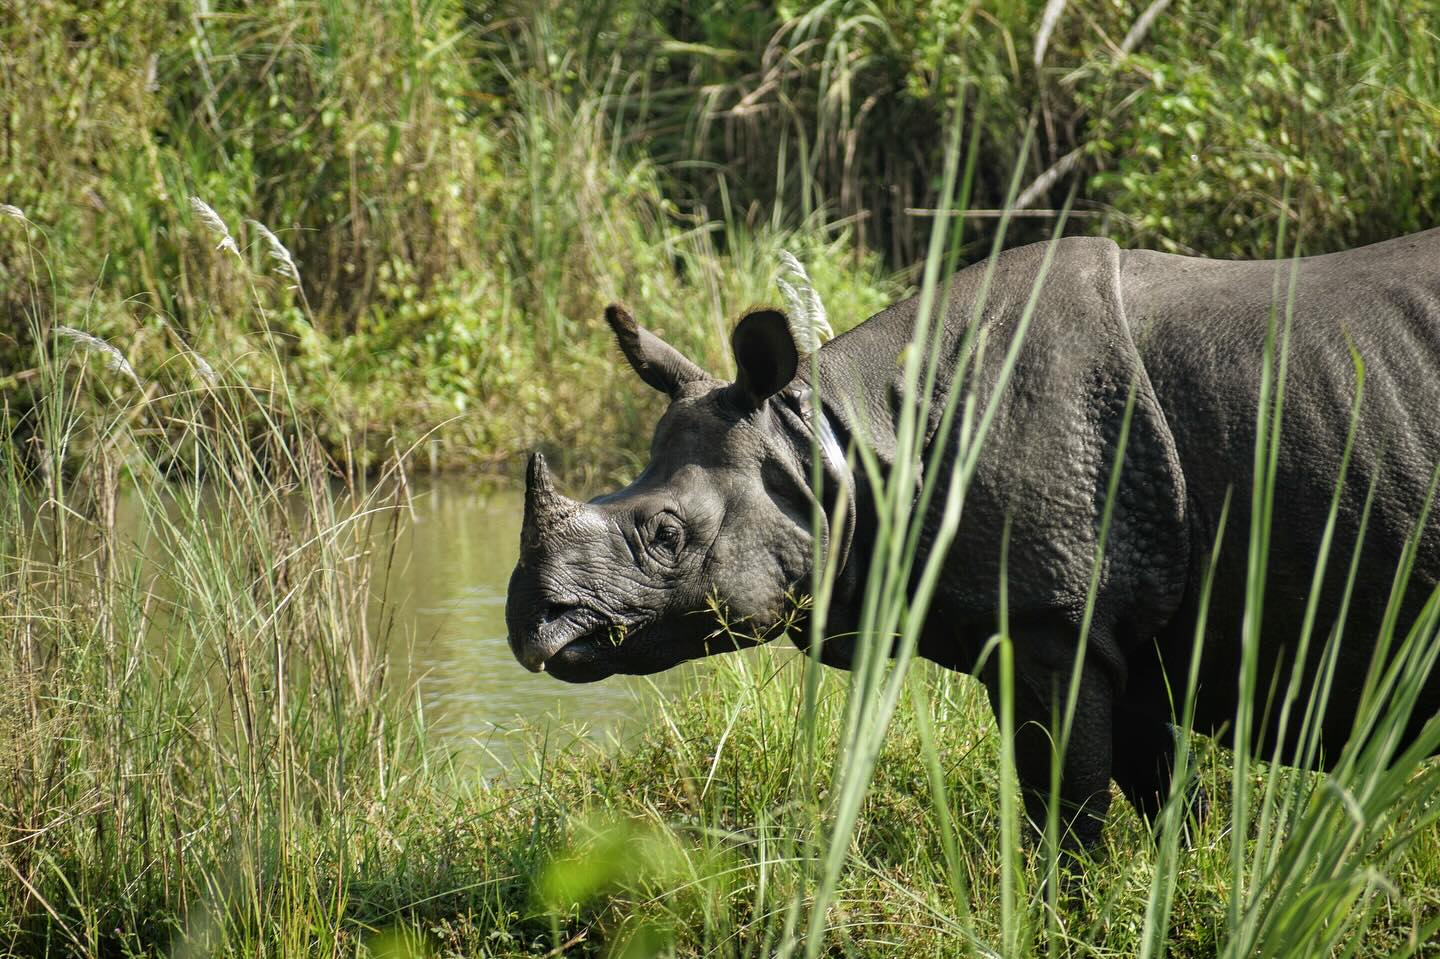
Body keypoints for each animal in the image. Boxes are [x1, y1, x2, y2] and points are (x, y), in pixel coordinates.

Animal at [506, 230, 1440, 850]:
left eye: (665, 533)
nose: (528, 623)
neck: (832, 444)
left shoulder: (1049, 614)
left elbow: (1065, 796)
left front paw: (1061, 907)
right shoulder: (1114, 618)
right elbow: (1164, 785)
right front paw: (1200, 873)